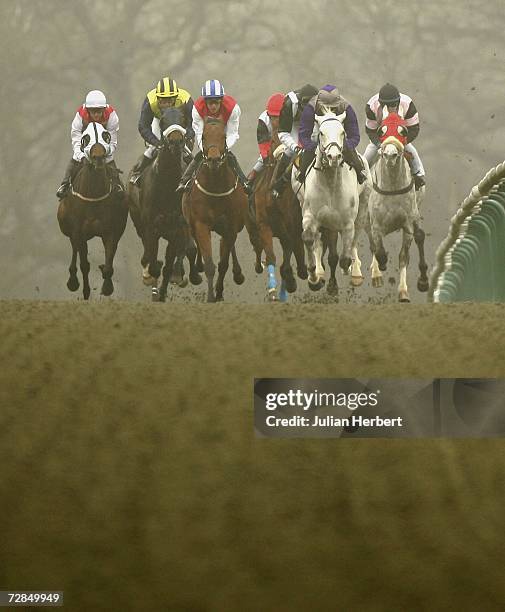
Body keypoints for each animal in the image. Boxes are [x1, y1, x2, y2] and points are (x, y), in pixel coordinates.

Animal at [56, 120, 128, 298]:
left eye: (106, 135)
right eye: (85, 137)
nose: (99, 158)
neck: (94, 194)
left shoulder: (111, 232)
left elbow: (108, 265)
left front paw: (107, 286)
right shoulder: (79, 232)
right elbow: (84, 264)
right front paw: (85, 290)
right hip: (69, 229)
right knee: (74, 249)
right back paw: (73, 280)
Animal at [127, 109, 202, 304]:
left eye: (183, 119)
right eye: (162, 120)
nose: (175, 141)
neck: (167, 182)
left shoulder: (178, 226)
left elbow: (175, 259)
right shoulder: (151, 226)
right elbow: (153, 259)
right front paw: (151, 276)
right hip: (138, 221)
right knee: (148, 250)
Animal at [182, 116, 260, 302]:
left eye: (224, 136)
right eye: (203, 136)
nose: (214, 159)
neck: (216, 187)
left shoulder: (231, 225)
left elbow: (223, 263)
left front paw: (218, 292)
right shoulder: (201, 224)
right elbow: (210, 264)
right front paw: (210, 296)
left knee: (229, 247)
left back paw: (238, 274)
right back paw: (198, 267)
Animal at [249, 134, 306, 302]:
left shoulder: (286, 229)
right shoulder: (267, 226)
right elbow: (273, 256)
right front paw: (275, 289)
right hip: (254, 229)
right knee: (259, 248)